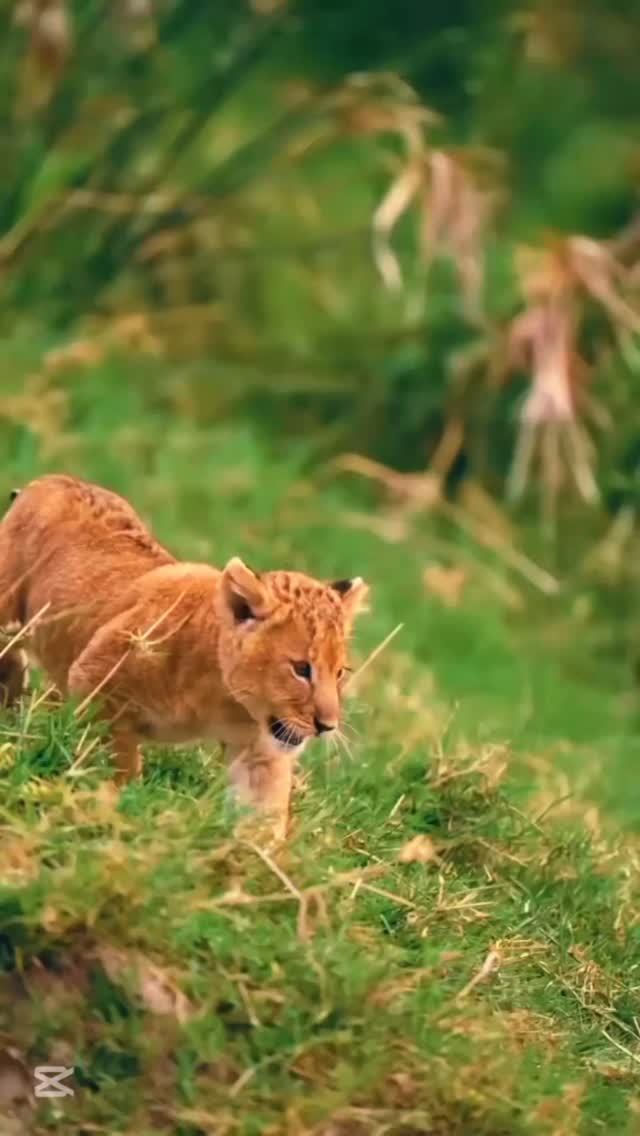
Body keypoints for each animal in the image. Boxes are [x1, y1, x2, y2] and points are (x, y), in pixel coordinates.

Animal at [0, 475, 368, 837]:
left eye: (340, 673)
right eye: (301, 669)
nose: (327, 726)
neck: (222, 699)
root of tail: (49, 480)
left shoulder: (261, 752)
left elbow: (261, 818)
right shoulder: (94, 680)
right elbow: (119, 759)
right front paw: (117, 805)